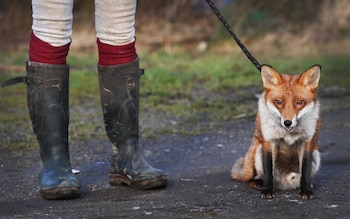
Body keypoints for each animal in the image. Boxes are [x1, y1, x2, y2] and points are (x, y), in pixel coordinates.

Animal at [231, 64, 322, 199]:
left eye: (299, 102)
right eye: (279, 102)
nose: (287, 122)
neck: (288, 133)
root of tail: (284, 183)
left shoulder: (306, 142)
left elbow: (305, 171)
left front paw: (305, 190)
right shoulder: (269, 141)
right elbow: (268, 171)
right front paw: (267, 190)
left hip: (316, 156)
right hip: (258, 150)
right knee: (255, 177)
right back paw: (258, 182)